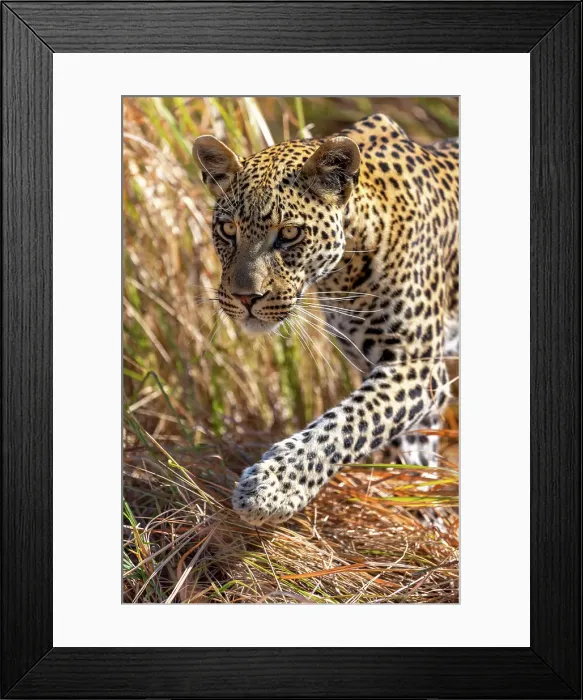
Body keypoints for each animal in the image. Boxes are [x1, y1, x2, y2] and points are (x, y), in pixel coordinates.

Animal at [193, 113, 459, 526]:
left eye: (289, 233)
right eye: (227, 229)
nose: (244, 297)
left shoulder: (416, 366)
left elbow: (347, 424)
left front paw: (271, 489)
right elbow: (406, 443)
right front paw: (420, 505)